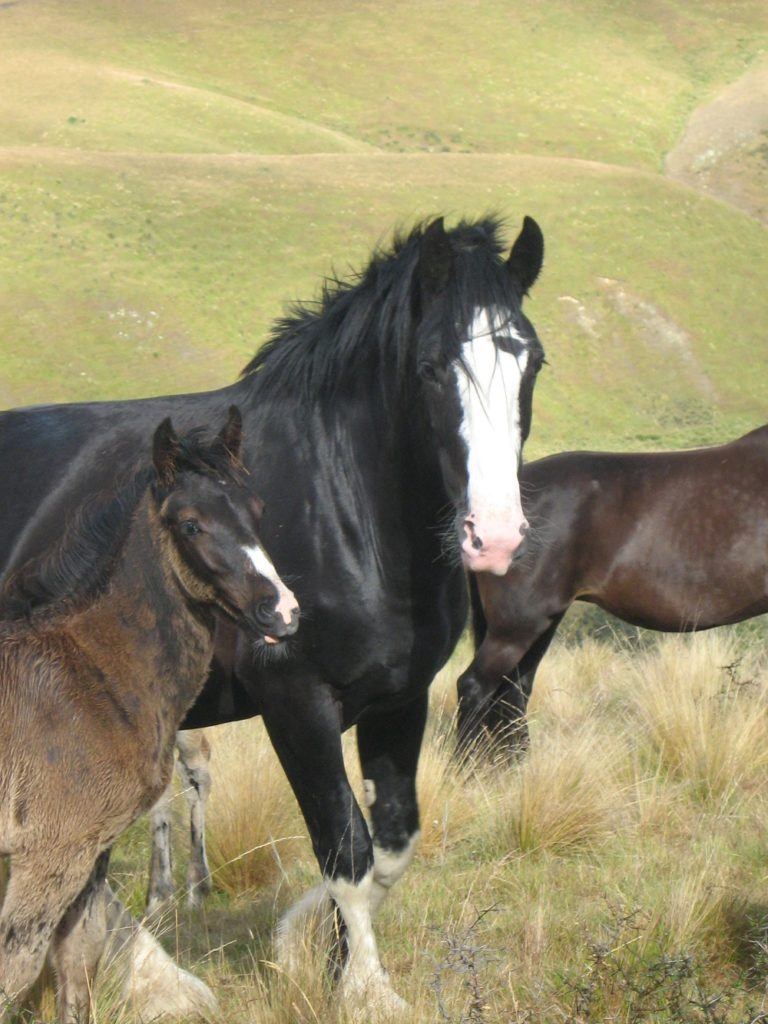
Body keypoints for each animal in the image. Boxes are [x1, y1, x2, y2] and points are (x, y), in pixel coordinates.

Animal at [0, 409, 296, 1024]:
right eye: (190, 524)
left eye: (256, 510)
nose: (281, 611)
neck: (88, 671)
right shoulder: (49, 854)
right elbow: (14, 972)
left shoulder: (91, 851)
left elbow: (77, 964)